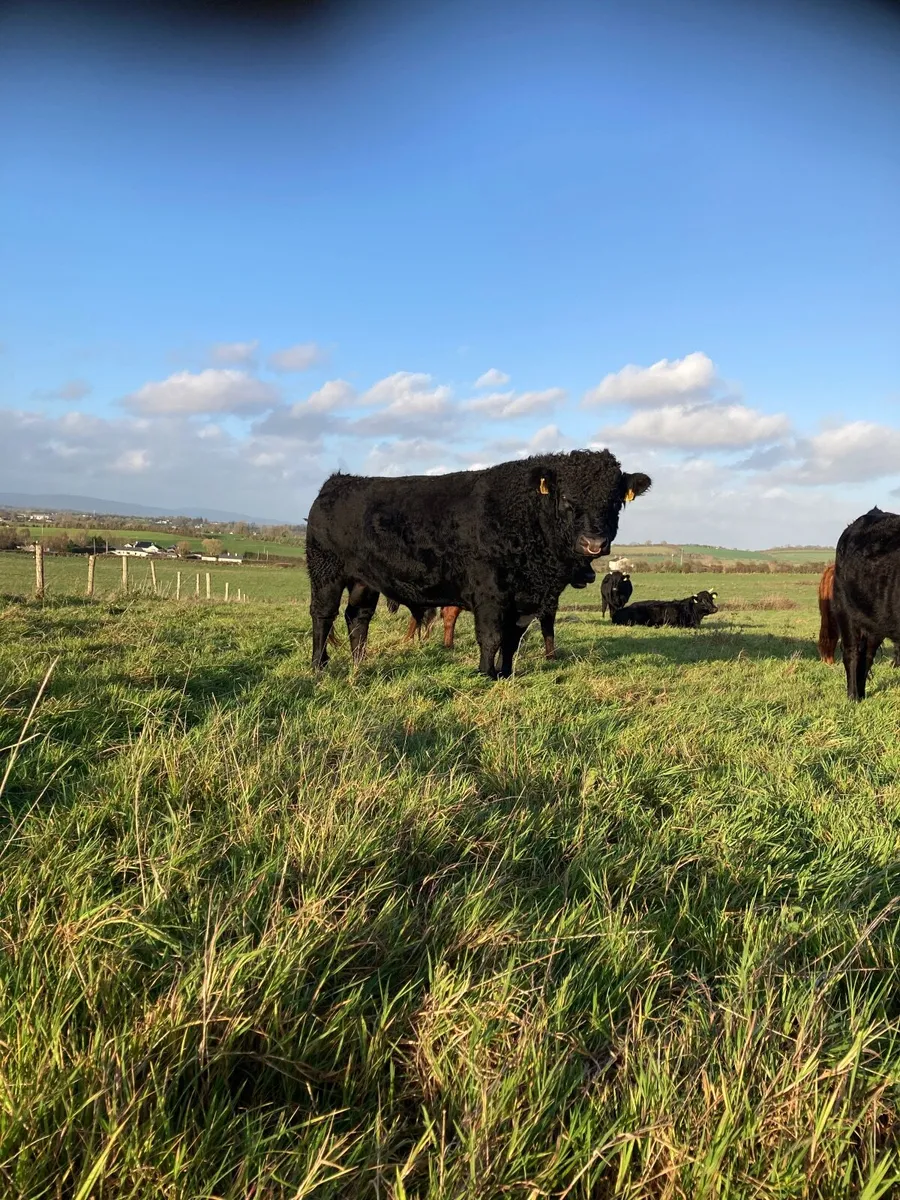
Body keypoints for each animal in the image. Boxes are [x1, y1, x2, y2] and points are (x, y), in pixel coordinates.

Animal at [306, 450, 652, 678]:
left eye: (615, 501)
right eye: (567, 498)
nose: (594, 543)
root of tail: (336, 482)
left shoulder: (525, 599)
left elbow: (512, 639)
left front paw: (506, 674)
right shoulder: (489, 592)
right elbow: (491, 636)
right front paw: (485, 674)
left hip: (364, 580)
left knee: (358, 618)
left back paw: (359, 663)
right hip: (325, 570)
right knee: (323, 615)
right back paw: (319, 666)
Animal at [832, 508, 900, 700]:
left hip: (875, 623)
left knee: (867, 655)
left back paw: (861, 695)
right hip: (844, 610)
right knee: (852, 653)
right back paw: (853, 697)